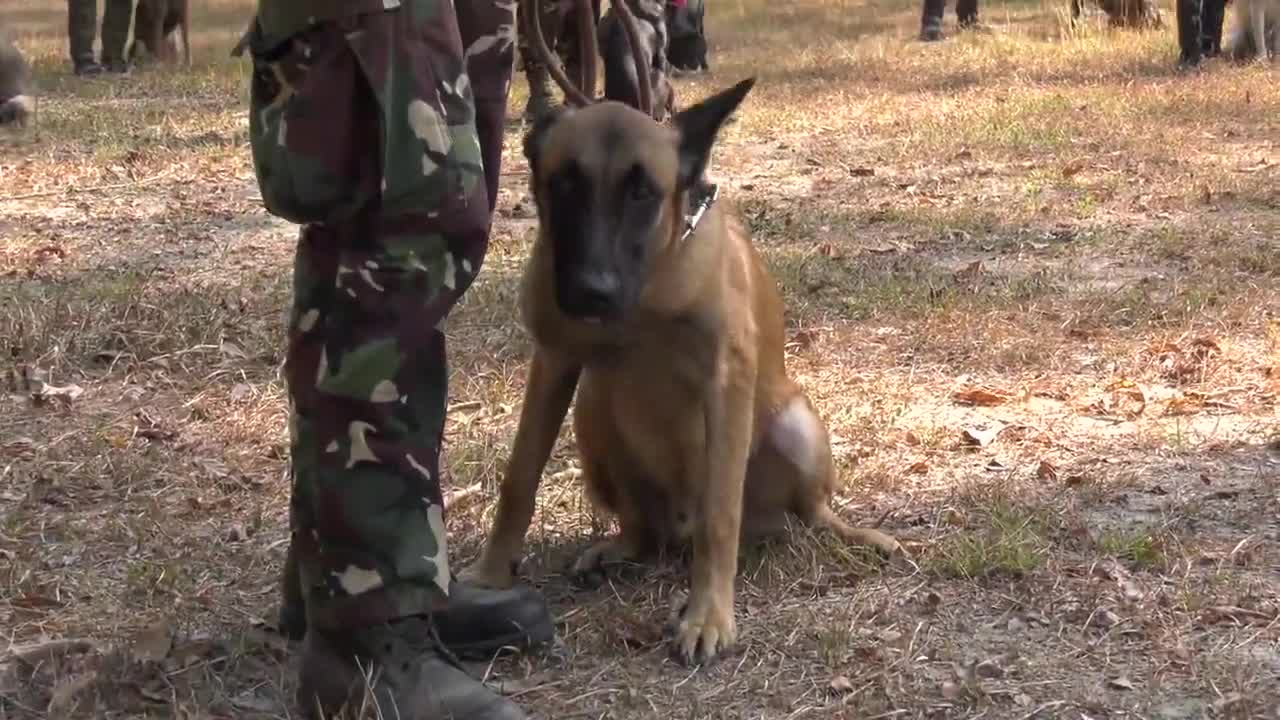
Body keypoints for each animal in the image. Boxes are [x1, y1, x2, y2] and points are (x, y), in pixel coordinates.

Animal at [460, 0, 901, 666]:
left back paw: (847, 532)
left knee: (804, 513)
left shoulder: (726, 381)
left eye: (644, 191)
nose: (592, 291)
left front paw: (708, 615)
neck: (650, 293)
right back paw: (619, 549)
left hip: (795, 428)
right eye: (564, 183)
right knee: (644, 531)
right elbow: (520, 476)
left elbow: (721, 513)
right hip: (592, 414)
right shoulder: (555, 362)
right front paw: (490, 578)